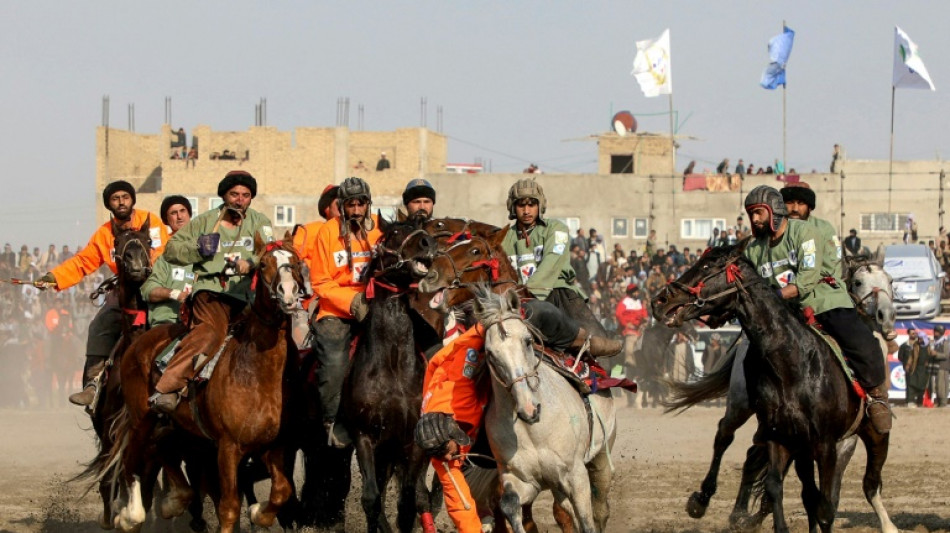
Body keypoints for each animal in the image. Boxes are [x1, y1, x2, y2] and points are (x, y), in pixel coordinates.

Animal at [346, 217, 442, 532]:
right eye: (395, 233)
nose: (428, 242)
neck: (392, 363)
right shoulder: (364, 436)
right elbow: (372, 500)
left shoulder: (412, 443)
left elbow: (408, 501)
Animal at [476, 286, 616, 532]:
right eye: (490, 353)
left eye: (528, 341)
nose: (529, 408)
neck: (534, 430)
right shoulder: (521, 479)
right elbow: (510, 504)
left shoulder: (576, 475)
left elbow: (587, 520)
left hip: (601, 456)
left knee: (599, 508)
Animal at [652, 240, 896, 532]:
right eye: (858, 282)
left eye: (890, 281)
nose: (660, 301)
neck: (794, 363)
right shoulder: (782, 438)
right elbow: (780, 487)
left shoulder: (826, 443)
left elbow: (824, 501)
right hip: (739, 405)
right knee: (724, 436)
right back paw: (707, 501)